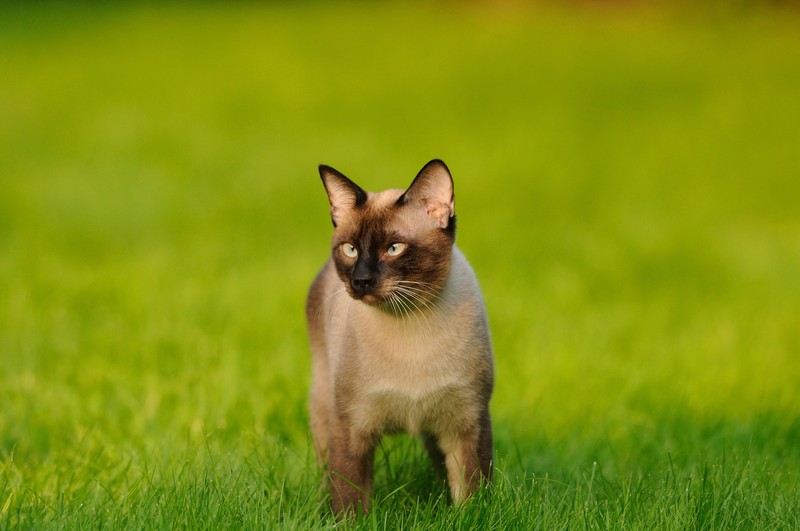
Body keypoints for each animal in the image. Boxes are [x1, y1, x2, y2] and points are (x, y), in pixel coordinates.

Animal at [306, 159, 494, 516]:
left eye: (394, 249)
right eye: (350, 250)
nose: (361, 280)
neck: (409, 319)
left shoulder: (466, 422)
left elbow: (472, 495)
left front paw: (466, 516)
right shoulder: (352, 426)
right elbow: (349, 501)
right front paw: (351, 519)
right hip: (324, 409)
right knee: (325, 472)